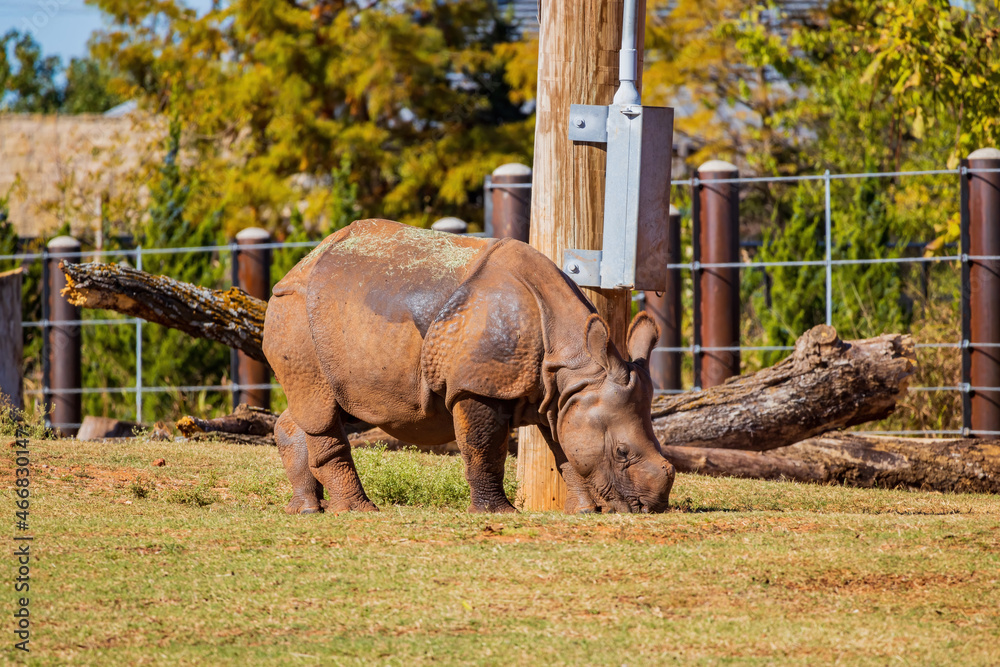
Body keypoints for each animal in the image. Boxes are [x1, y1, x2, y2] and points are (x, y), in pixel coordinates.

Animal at [263, 219, 675, 514]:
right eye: (622, 453)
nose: (651, 508)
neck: (575, 363)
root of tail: (298, 266)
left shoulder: (561, 395)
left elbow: (564, 450)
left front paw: (585, 512)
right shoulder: (478, 386)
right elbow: (484, 448)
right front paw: (498, 513)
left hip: (324, 323)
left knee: (323, 404)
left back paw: (306, 510)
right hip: (295, 312)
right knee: (321, 410)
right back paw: (358, 511)